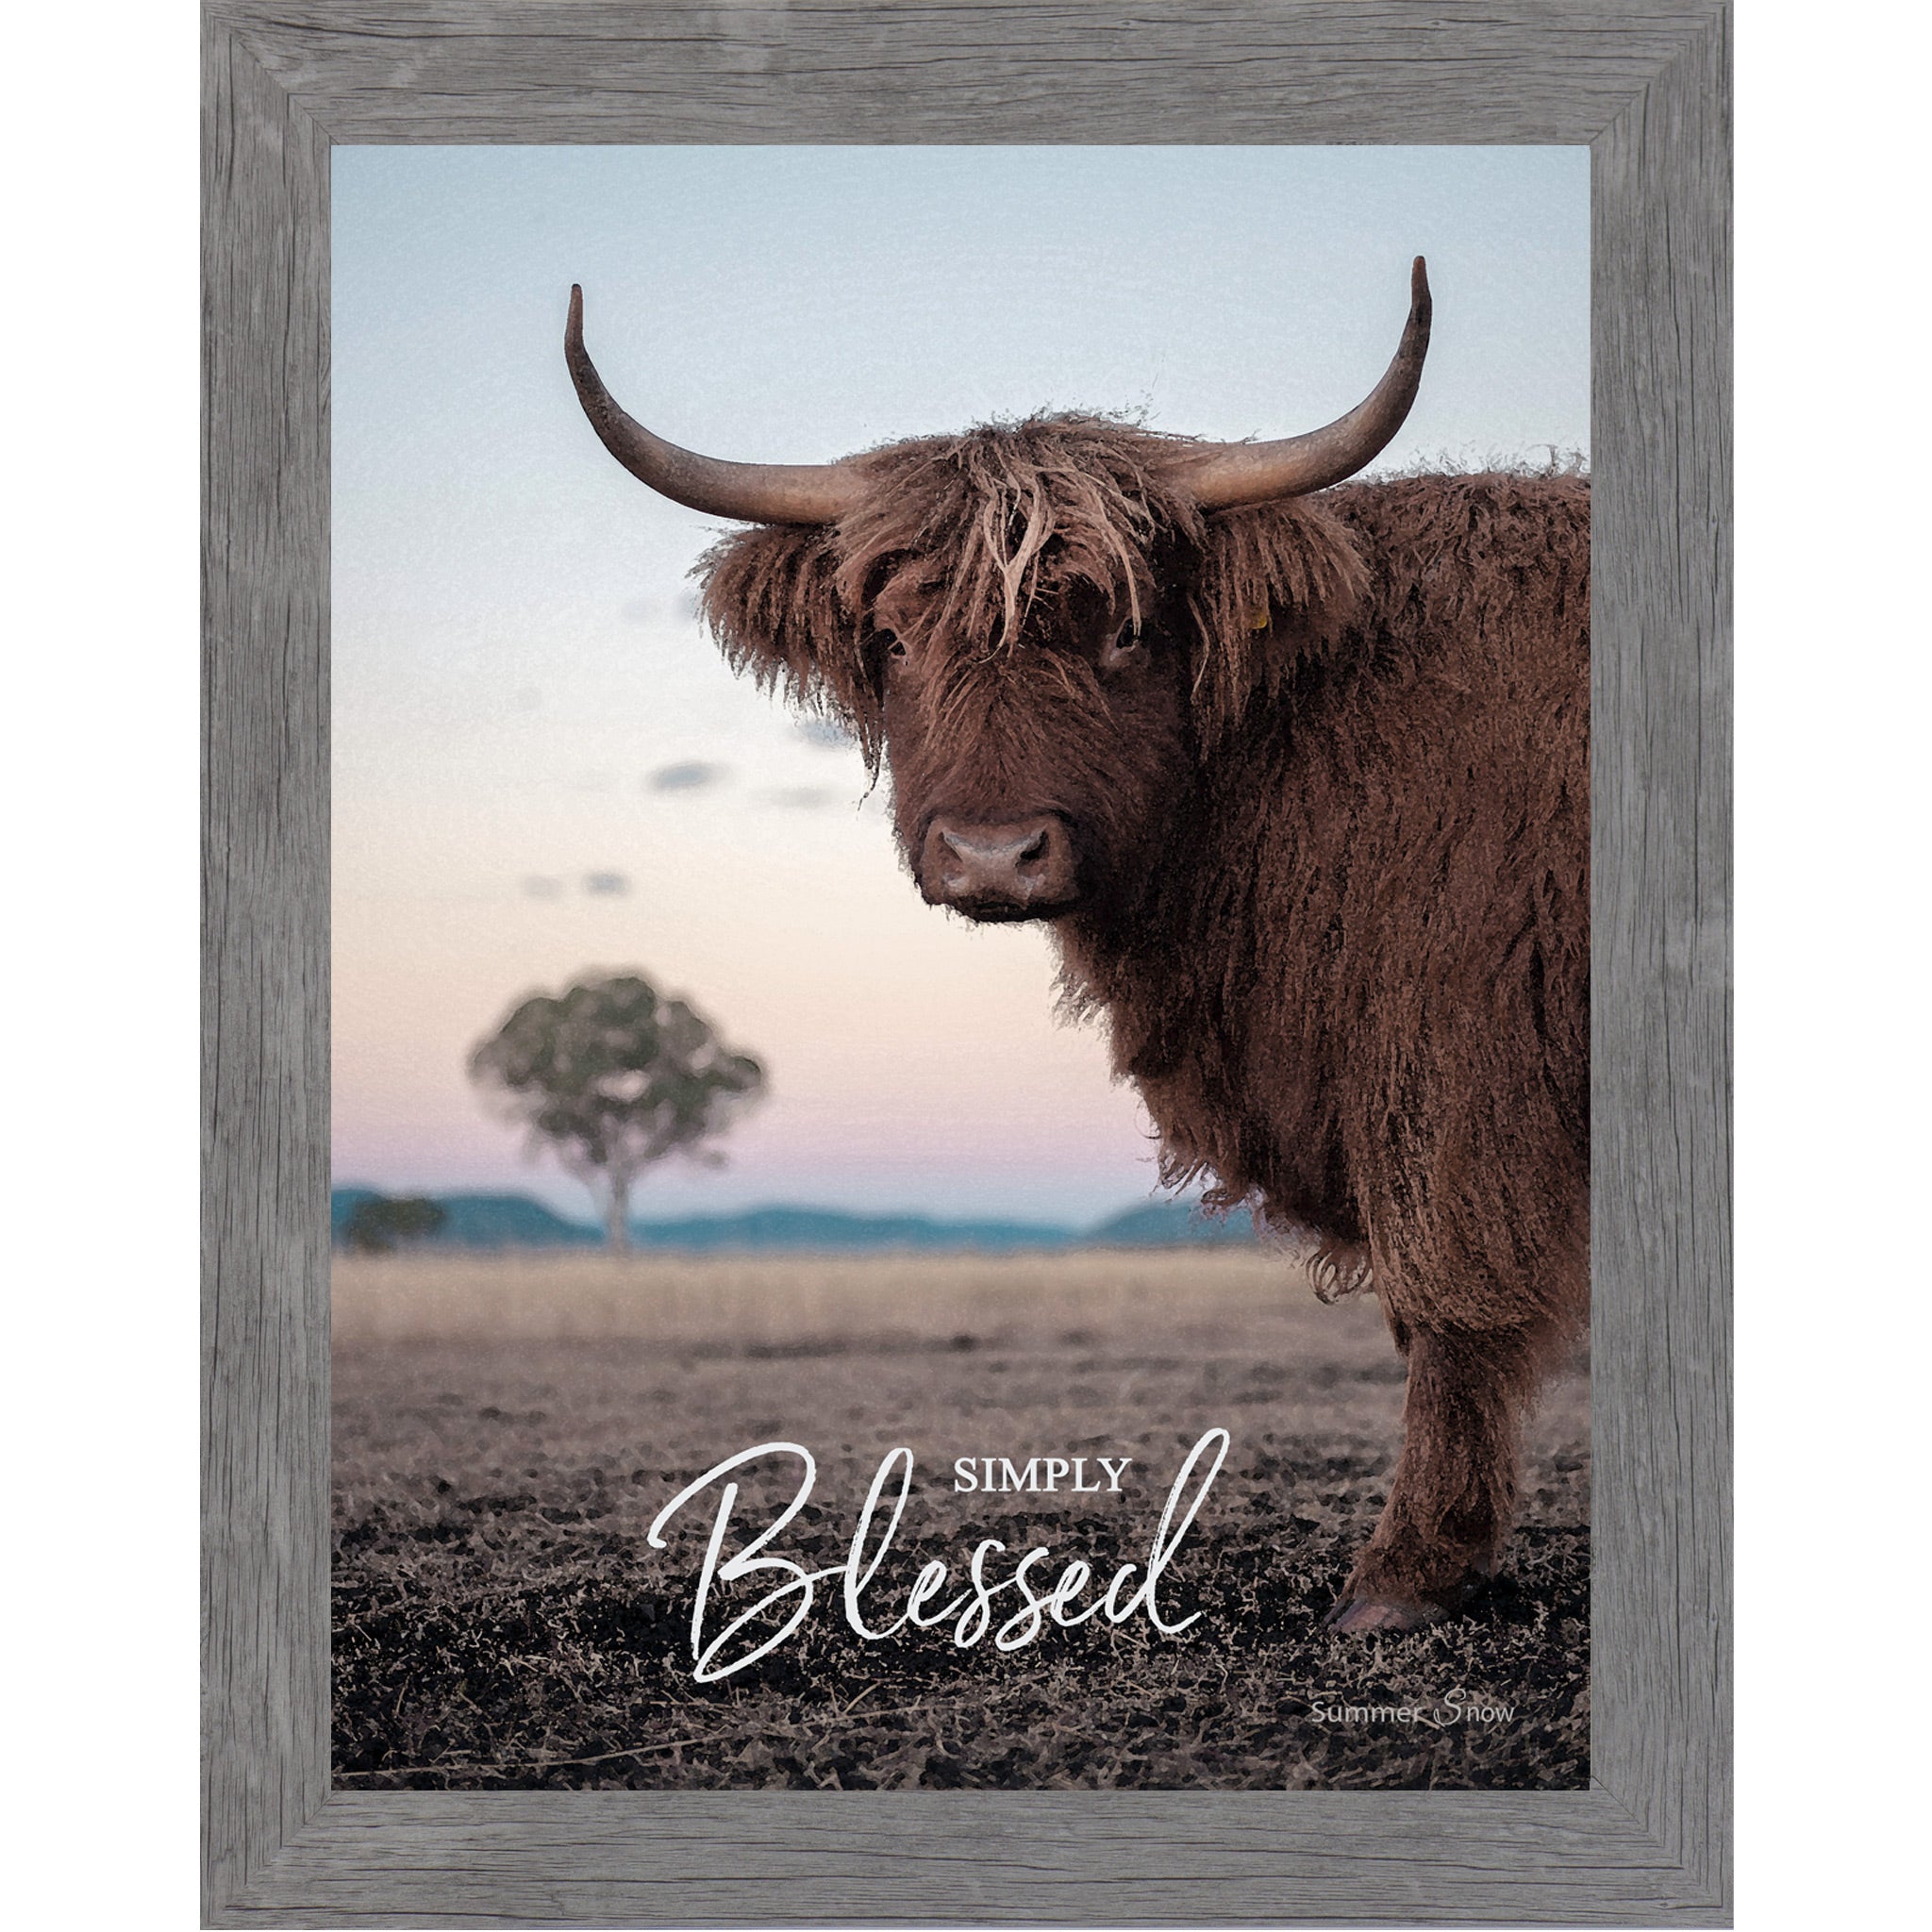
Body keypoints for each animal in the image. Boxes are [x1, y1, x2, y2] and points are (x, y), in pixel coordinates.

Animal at [564, 260, 1589, 1633]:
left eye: (1122, 630)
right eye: (895, 639)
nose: (994, 854)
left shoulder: (1452, 1063)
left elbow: (1446, 1307)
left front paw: (1405, 1572)